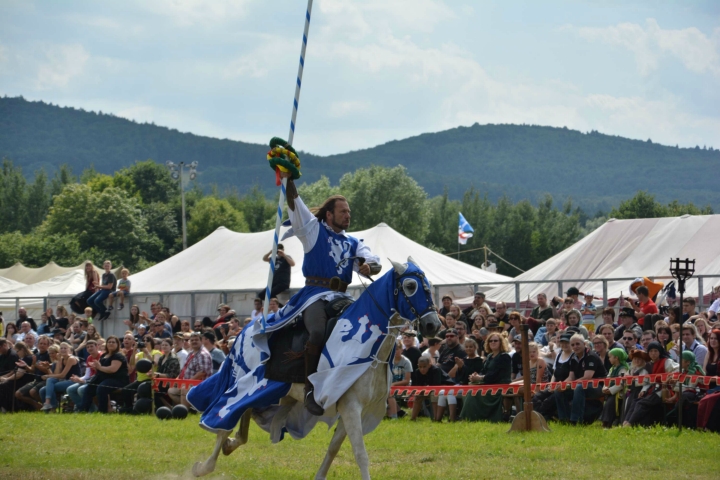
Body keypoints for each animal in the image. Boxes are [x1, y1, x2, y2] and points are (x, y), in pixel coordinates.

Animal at [191, 260, 438, 478]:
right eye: (411, 286)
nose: (433, 325)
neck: (373, 351)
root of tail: (245, 330)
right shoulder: (351, 407)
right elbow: (361, 454)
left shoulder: (351, 410)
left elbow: (333, 449)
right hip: (247, 382)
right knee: (225, 415)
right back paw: (203, 467)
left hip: (276, 393)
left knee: (244, 416)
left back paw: (229, 445)